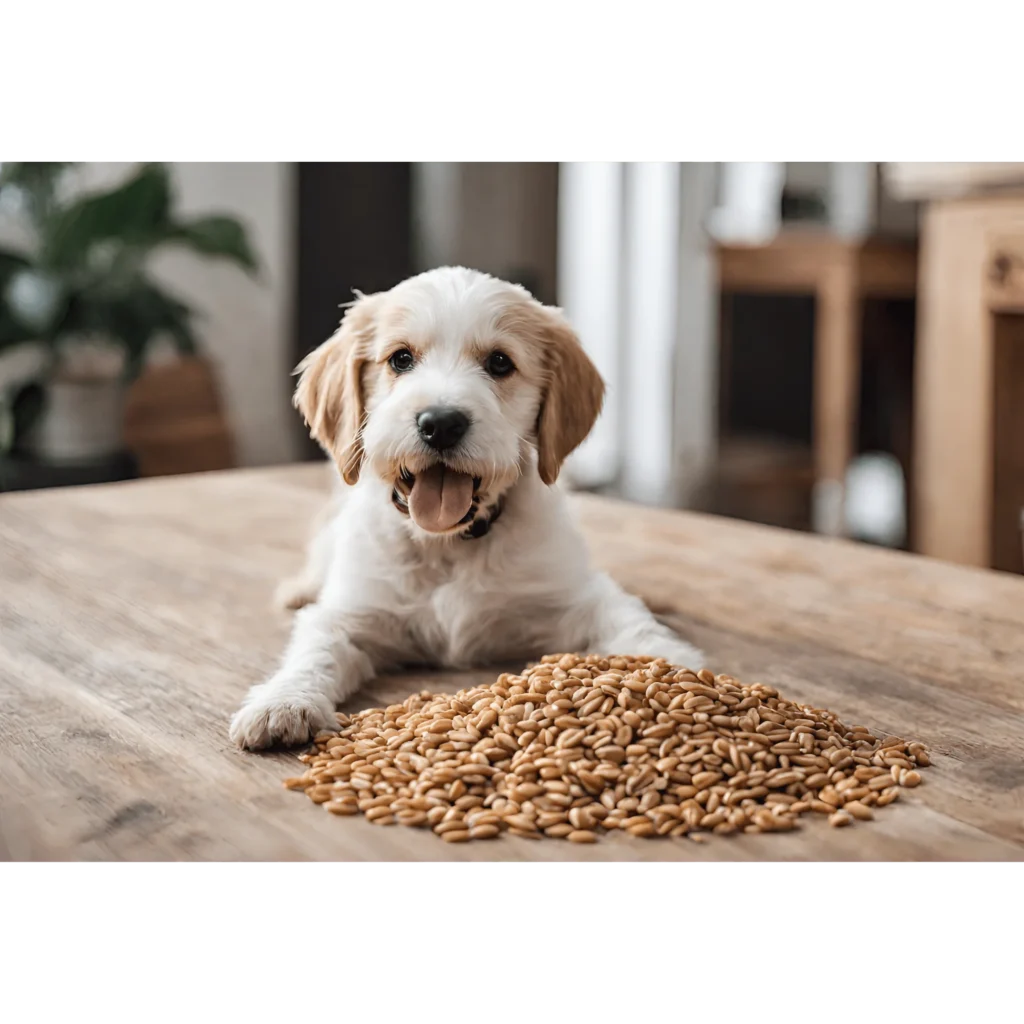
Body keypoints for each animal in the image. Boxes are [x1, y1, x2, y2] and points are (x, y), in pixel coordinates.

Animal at [230, 268, 704, 749]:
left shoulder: (578, 598)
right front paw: (284, 701)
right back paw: (300, 589)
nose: (440, 424)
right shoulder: (351, 614)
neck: (447, 545)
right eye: (401, 359)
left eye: (499, 363)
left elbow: (632, 623)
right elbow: (315, 649)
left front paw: (674, 671)